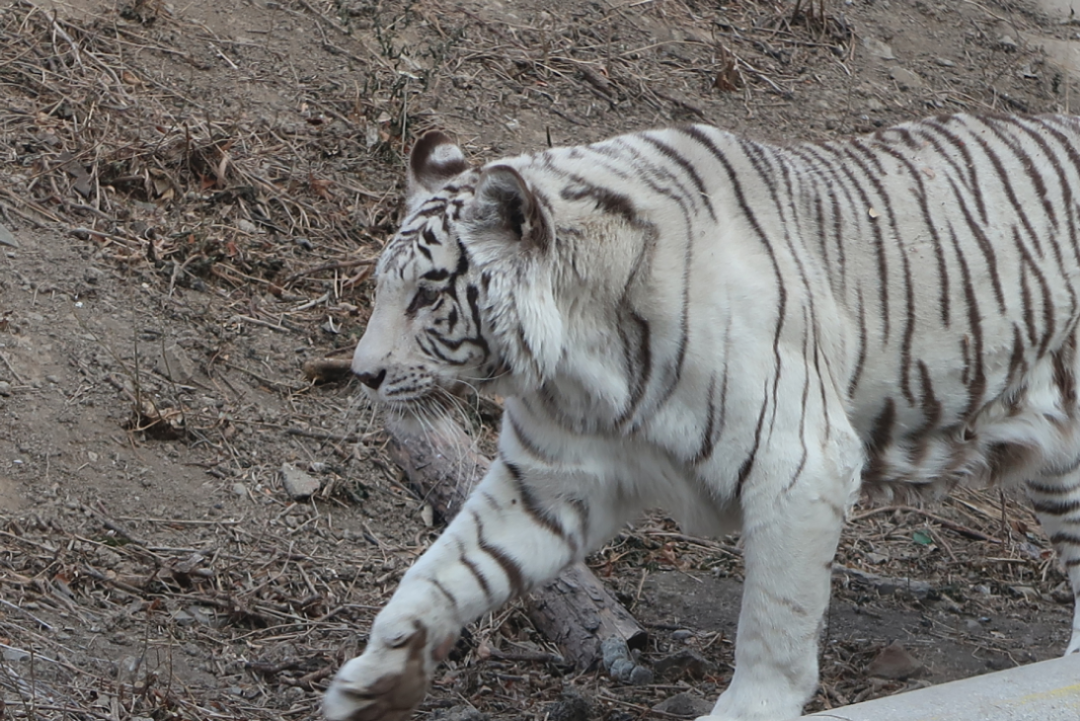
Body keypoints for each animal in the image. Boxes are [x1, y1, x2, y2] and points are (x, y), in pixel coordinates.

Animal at [324, 117, 1080, 721]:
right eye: (384, 287)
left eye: (427, 295)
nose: (363, 373)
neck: (579, 364)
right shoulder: (548, 482)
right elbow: (441, 571)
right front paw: (376, 680)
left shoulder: (799, 463)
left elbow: (774, 620)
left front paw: (752, 707)